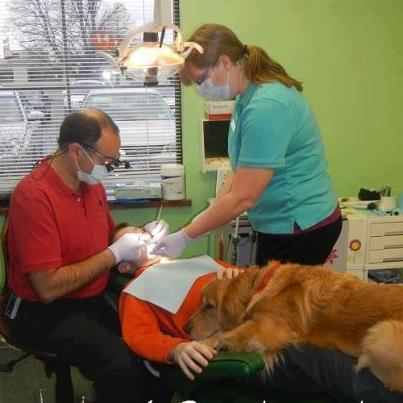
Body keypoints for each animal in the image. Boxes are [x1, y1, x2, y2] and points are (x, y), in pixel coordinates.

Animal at [187, 262, 403, 392]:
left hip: (381, 331)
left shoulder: (269, 329)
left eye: (209, 306)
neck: (261, 285)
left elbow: (226, 332)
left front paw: (205, 343)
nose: (186, 328)